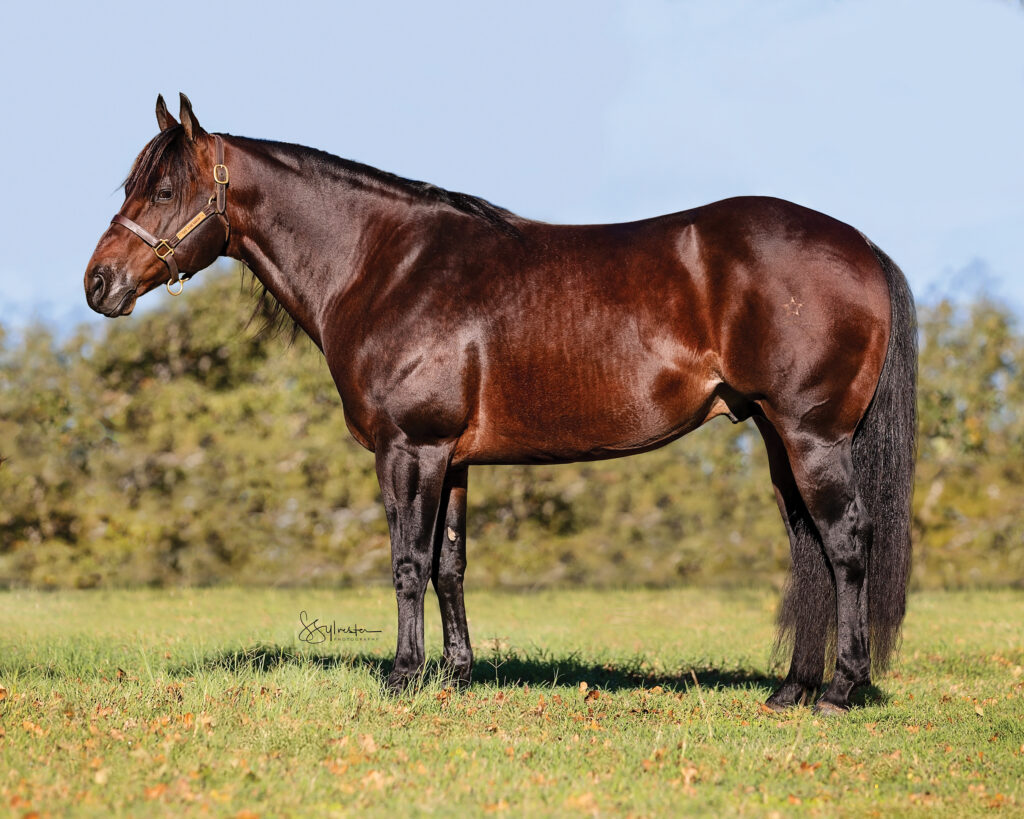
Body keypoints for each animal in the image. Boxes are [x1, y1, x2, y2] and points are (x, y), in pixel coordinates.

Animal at [84, 94, 916, 713]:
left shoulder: (411, 447)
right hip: (778, 437)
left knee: (845, 541)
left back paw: (840, 688)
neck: (386, 266)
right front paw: (455, 673)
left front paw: (403, 674)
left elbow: (407, 561)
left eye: (164, 190)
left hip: (811, 436)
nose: (99, 284)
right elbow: (450, 565)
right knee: (809, 548)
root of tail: (861, 247)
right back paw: (791, 688)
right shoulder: (452, 458)